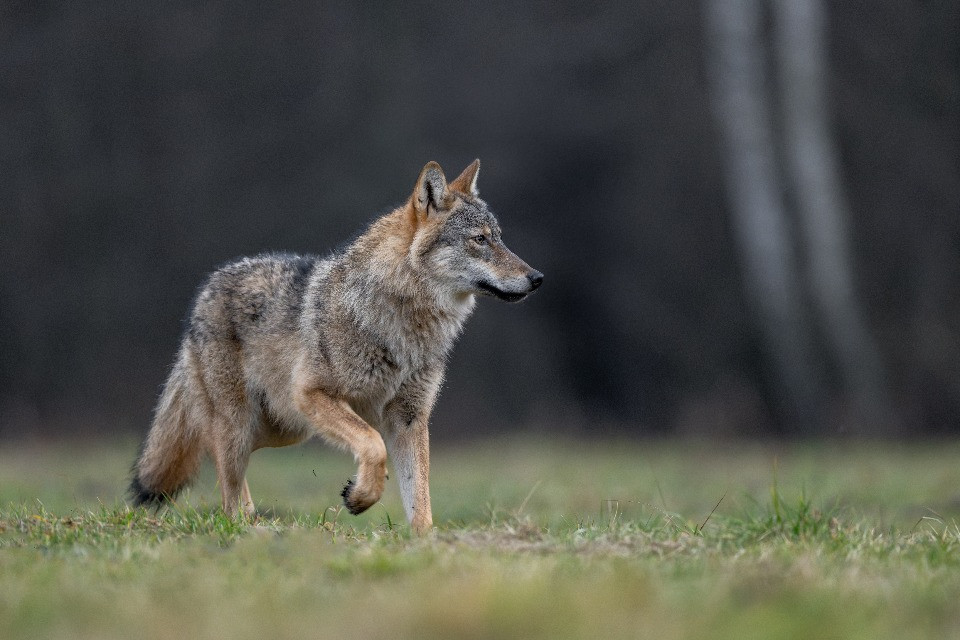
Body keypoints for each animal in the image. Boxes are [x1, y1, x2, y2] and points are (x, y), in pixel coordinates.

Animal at [130, 159, 542, 534]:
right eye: (480, 240)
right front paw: (360, 497)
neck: (401, 320)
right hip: (246, 422)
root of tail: (206, 288)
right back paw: (247, 527)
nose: (537, 278)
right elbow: (373, 446)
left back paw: (254, 520)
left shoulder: (409, 419)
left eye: (499, 237)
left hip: (284, 427)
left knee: (215, 457)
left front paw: (425, 543)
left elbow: (421, 500)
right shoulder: (314, 394)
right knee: (222, 479)